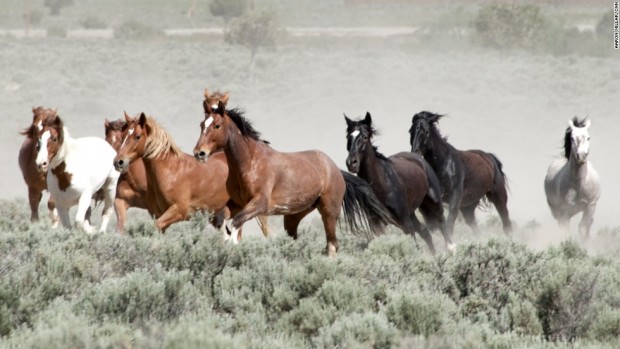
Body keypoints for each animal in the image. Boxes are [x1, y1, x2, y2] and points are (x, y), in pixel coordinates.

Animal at [112, 111, 268, 235]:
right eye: (123, 135)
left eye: (137, 136)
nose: (118, 162)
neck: (170, 171)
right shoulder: (157, 213)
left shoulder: (179, 211)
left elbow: (154, 227)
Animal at [193, 89, 392, 256]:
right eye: (202, 124)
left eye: (217, 125)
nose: (199, 153)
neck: (250, 162)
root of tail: (335, 169)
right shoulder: (237, 204)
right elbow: (221, 221)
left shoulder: (259, 204)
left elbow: (235, 224)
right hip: (294, 215)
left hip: (329, 211)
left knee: (332, 245)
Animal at [344, 111, 456, 253]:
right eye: (348, 136)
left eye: (364, 137)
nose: (351, 163)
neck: (383, 183)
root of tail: (419, 158)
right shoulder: (377, 225)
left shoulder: (405, 222)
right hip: (413, 212)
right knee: (425, 232)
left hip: (434, 202)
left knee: (442, 224)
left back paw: (451, 248)